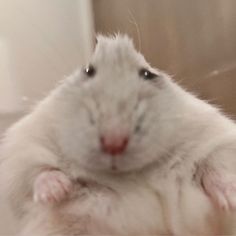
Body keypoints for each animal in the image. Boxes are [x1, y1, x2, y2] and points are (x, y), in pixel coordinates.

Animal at [0, 34, 236, 235]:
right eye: (88, 71)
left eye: (148, 74)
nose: (114, 143)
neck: (130, 177)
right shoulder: (21, 150)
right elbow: (37, 173)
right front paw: (55, 191)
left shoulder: (218, 138)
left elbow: (215, 165)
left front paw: (230, 200)